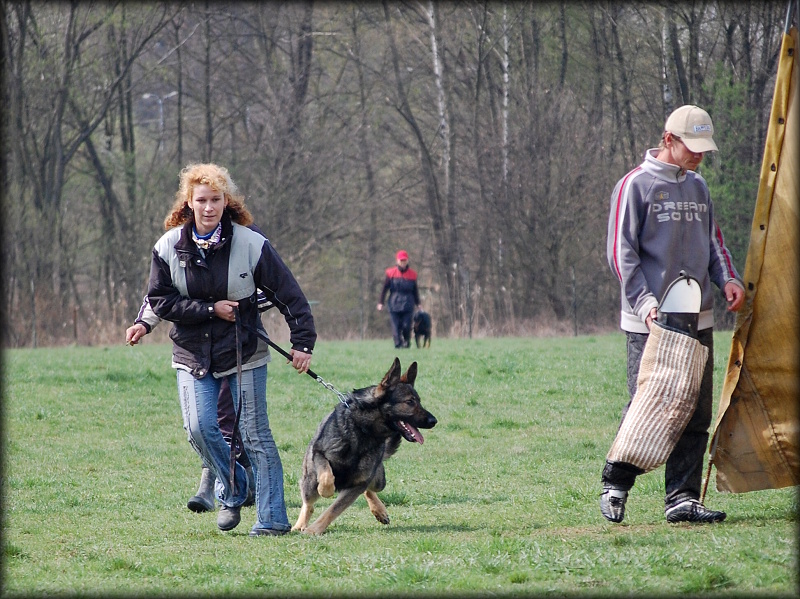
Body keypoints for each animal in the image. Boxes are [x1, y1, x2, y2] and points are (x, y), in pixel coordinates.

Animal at [290, 358, 434, 536]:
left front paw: (315, 529)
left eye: (419, 401)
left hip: (378, 480)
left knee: (370, 488)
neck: (364, 430)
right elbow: (327, 475)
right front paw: (326, 490)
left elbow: (333, 510)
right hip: (310, 479)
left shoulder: (358, 484)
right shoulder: (319, 453)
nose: (434, 421)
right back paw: (300, 524)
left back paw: (379, 510)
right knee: (308, 503)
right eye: (409, 402)